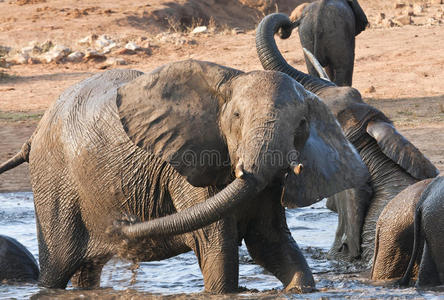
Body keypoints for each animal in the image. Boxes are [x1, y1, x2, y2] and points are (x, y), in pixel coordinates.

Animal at [0, 59, 368, 292]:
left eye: (302, 125)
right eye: (236, 116)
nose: (122, 223)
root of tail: (33, 135)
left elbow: (271, 242)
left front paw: (300, 288)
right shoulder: (189, 171)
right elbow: (218, 246)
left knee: (86, 272)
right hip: (54, 181)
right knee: (57, 267)